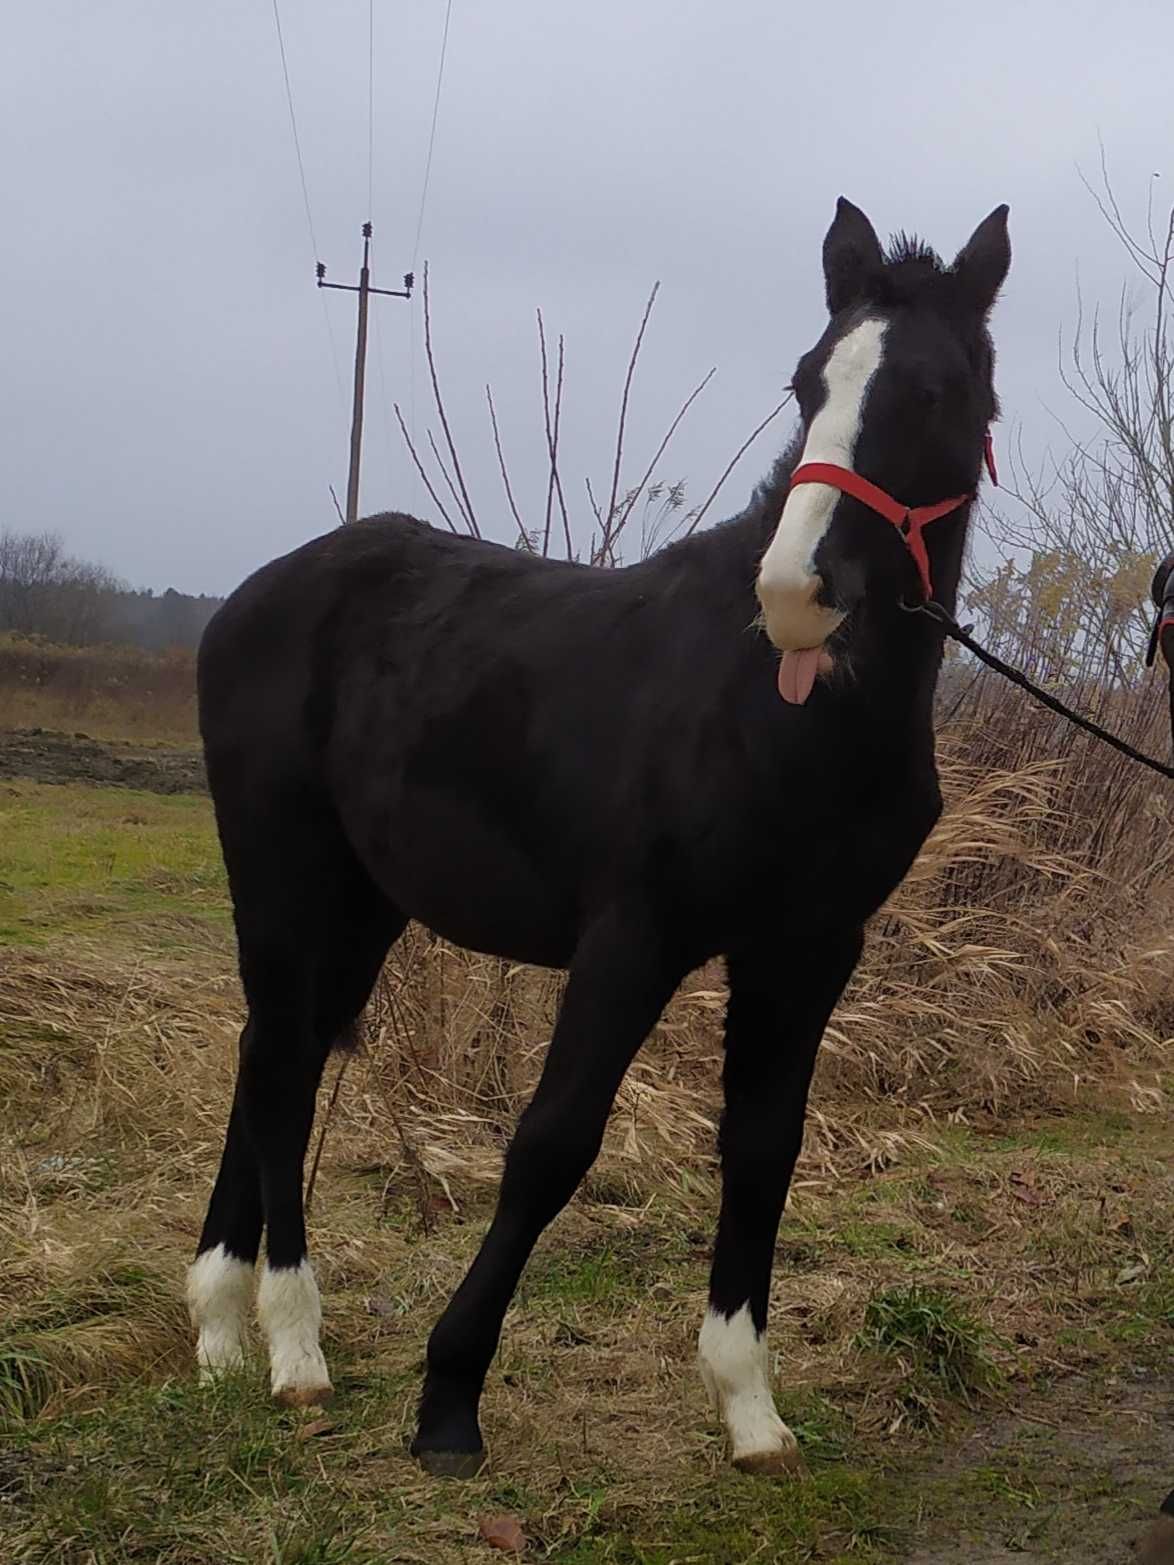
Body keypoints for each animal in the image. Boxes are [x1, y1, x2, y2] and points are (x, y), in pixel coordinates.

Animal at [190, 198, 1014, 1477]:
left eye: (933, 391)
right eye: (807, 382)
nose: (795, 593)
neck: (780, 710)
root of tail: (255, 596)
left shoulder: (806, 949)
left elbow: (762, 1147)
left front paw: (749, 1406)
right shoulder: (635, 933)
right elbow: (552, 1140)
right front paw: (450, 1395)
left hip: (366, 899)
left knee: (274, 1049)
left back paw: (223, 1330)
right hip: (281, 866)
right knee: (280, 1066)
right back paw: (292, 1343)